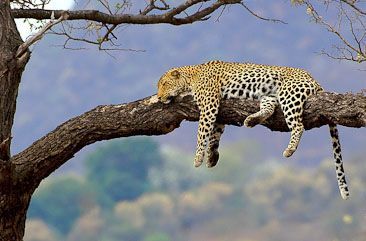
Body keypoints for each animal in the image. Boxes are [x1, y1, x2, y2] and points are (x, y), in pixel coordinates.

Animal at [157, 60, 348, 200]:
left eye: (164, 84)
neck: (191, 76)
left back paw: (289, 149)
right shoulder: (218, 112)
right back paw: (251, 120)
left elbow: (202, 133)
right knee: (269, 109)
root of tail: (315, 80)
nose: (158, 98)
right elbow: (215, 133)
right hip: (269, 96)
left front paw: (197, 158)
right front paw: (211, 156)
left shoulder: (209, 106)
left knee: (298, 125)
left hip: (288, 95)